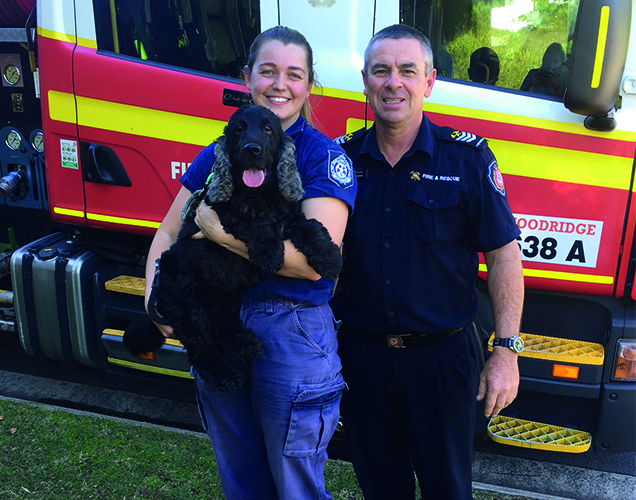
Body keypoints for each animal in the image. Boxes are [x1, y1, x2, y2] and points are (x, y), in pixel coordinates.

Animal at [124, 105, 342, 392]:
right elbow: (255, 224)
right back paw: (225, 376)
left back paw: (244, 342)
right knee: (201, 349)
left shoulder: (290, 216)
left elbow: (310, 227)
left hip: (227, 298)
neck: (261, 194)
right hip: (190, 309)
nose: (252, 149)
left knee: (223, 329)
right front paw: (270, 253)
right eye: (239, 129)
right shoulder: (221, 211)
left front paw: (329, 257)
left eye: (268, 129)